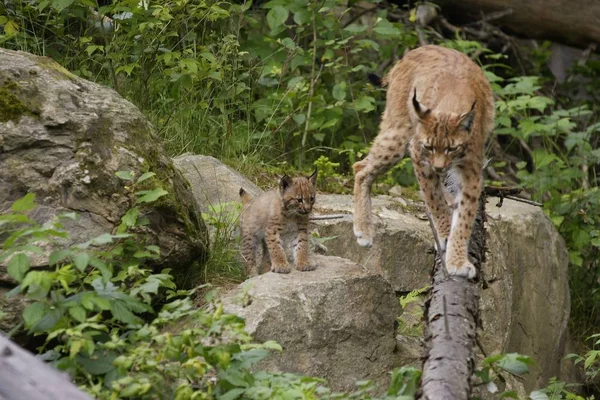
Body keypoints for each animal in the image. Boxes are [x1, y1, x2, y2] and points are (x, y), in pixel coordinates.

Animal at [352, 45, 492, 278]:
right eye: (429, 146)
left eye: (452, 148)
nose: (439, 166)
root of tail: (415, 50)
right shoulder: (419, 155)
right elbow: (433, 198)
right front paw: (445, 234)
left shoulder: (472, 168)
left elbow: (465, 215)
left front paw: (457, 259)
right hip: (399, 135)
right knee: (361, 167)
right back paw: (364, 230)